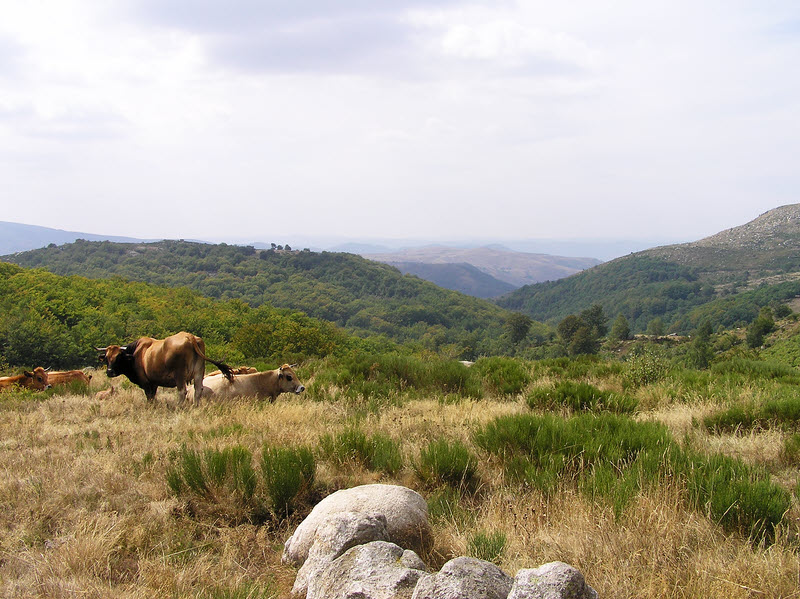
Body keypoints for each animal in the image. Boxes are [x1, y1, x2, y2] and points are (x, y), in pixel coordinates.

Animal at [95, 330, 231, 406]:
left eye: (118, 357)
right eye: (106, 358)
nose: (109, 372)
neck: (136, 354)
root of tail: (189, 336)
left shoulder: (146, 382)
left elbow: (149, 396)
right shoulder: (154, 382)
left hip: (179, 375)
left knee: (182, 391)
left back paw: (178, 406)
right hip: (198, 373)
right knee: (198, 390)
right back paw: (195, 406)